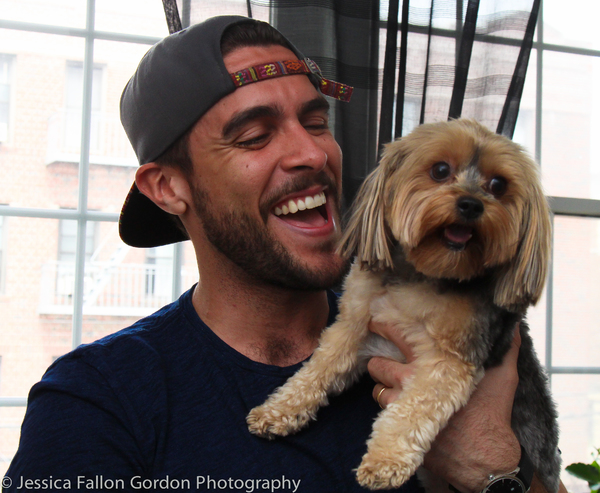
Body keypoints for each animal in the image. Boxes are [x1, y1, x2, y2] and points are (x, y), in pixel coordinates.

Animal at [246, 118, 560, 488]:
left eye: (498, 184)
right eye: (440, 170)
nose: (471, 204)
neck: (424, 275)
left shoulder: (451, 360)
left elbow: (413, 409)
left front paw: (385, 460)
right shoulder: (355, 327)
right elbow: (318, 367)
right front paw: (278, 410)